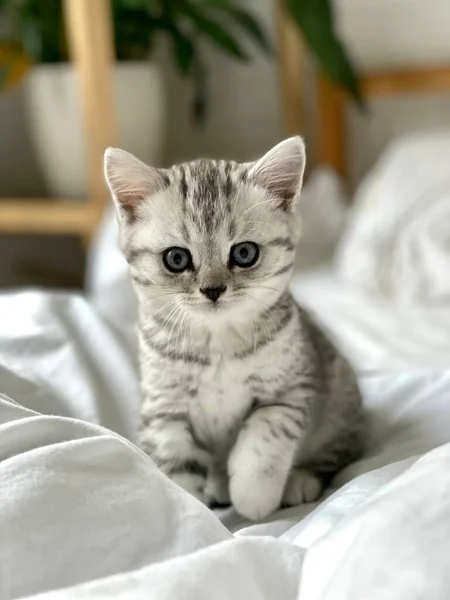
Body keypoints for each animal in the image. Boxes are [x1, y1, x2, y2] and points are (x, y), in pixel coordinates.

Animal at [105, 136, 366, 520]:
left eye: (244, 253)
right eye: (176, 258)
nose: (213, 289)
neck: (217, 344)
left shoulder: (288, 392)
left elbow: (263, 436)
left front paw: (253, 497)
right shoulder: (166, 412)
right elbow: (179, 471)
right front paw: (198, 517)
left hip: (340, 399)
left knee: (337, 452)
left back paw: (299, 480)